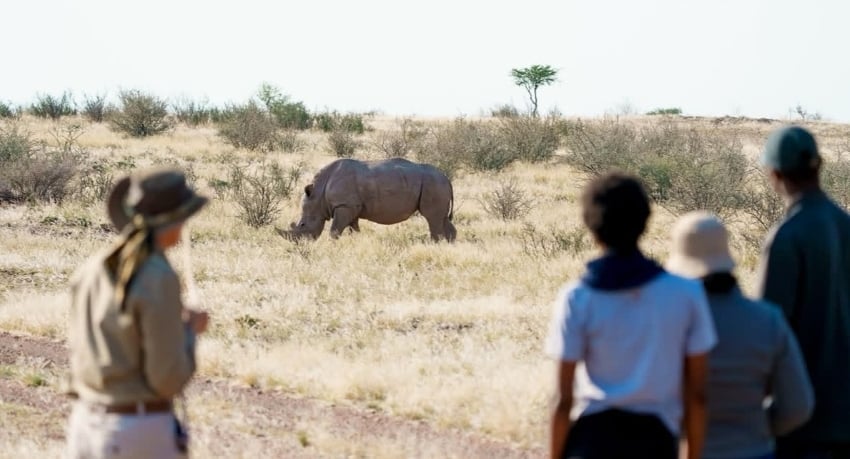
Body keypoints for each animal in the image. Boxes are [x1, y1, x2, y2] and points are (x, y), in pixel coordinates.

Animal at [280, 158, 457, 242]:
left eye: (302, 225)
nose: (300, 244)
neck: (319, 193)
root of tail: (447, 179)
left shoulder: (344, 205)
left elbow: (334, 231)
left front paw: (332, 245)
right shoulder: (350, 207)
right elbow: (353, 229)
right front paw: (355, 241)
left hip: (433, 183)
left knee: (432, 218)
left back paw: (435, 245)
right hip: (436, 184)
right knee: (441, 218)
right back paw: (448, 245)